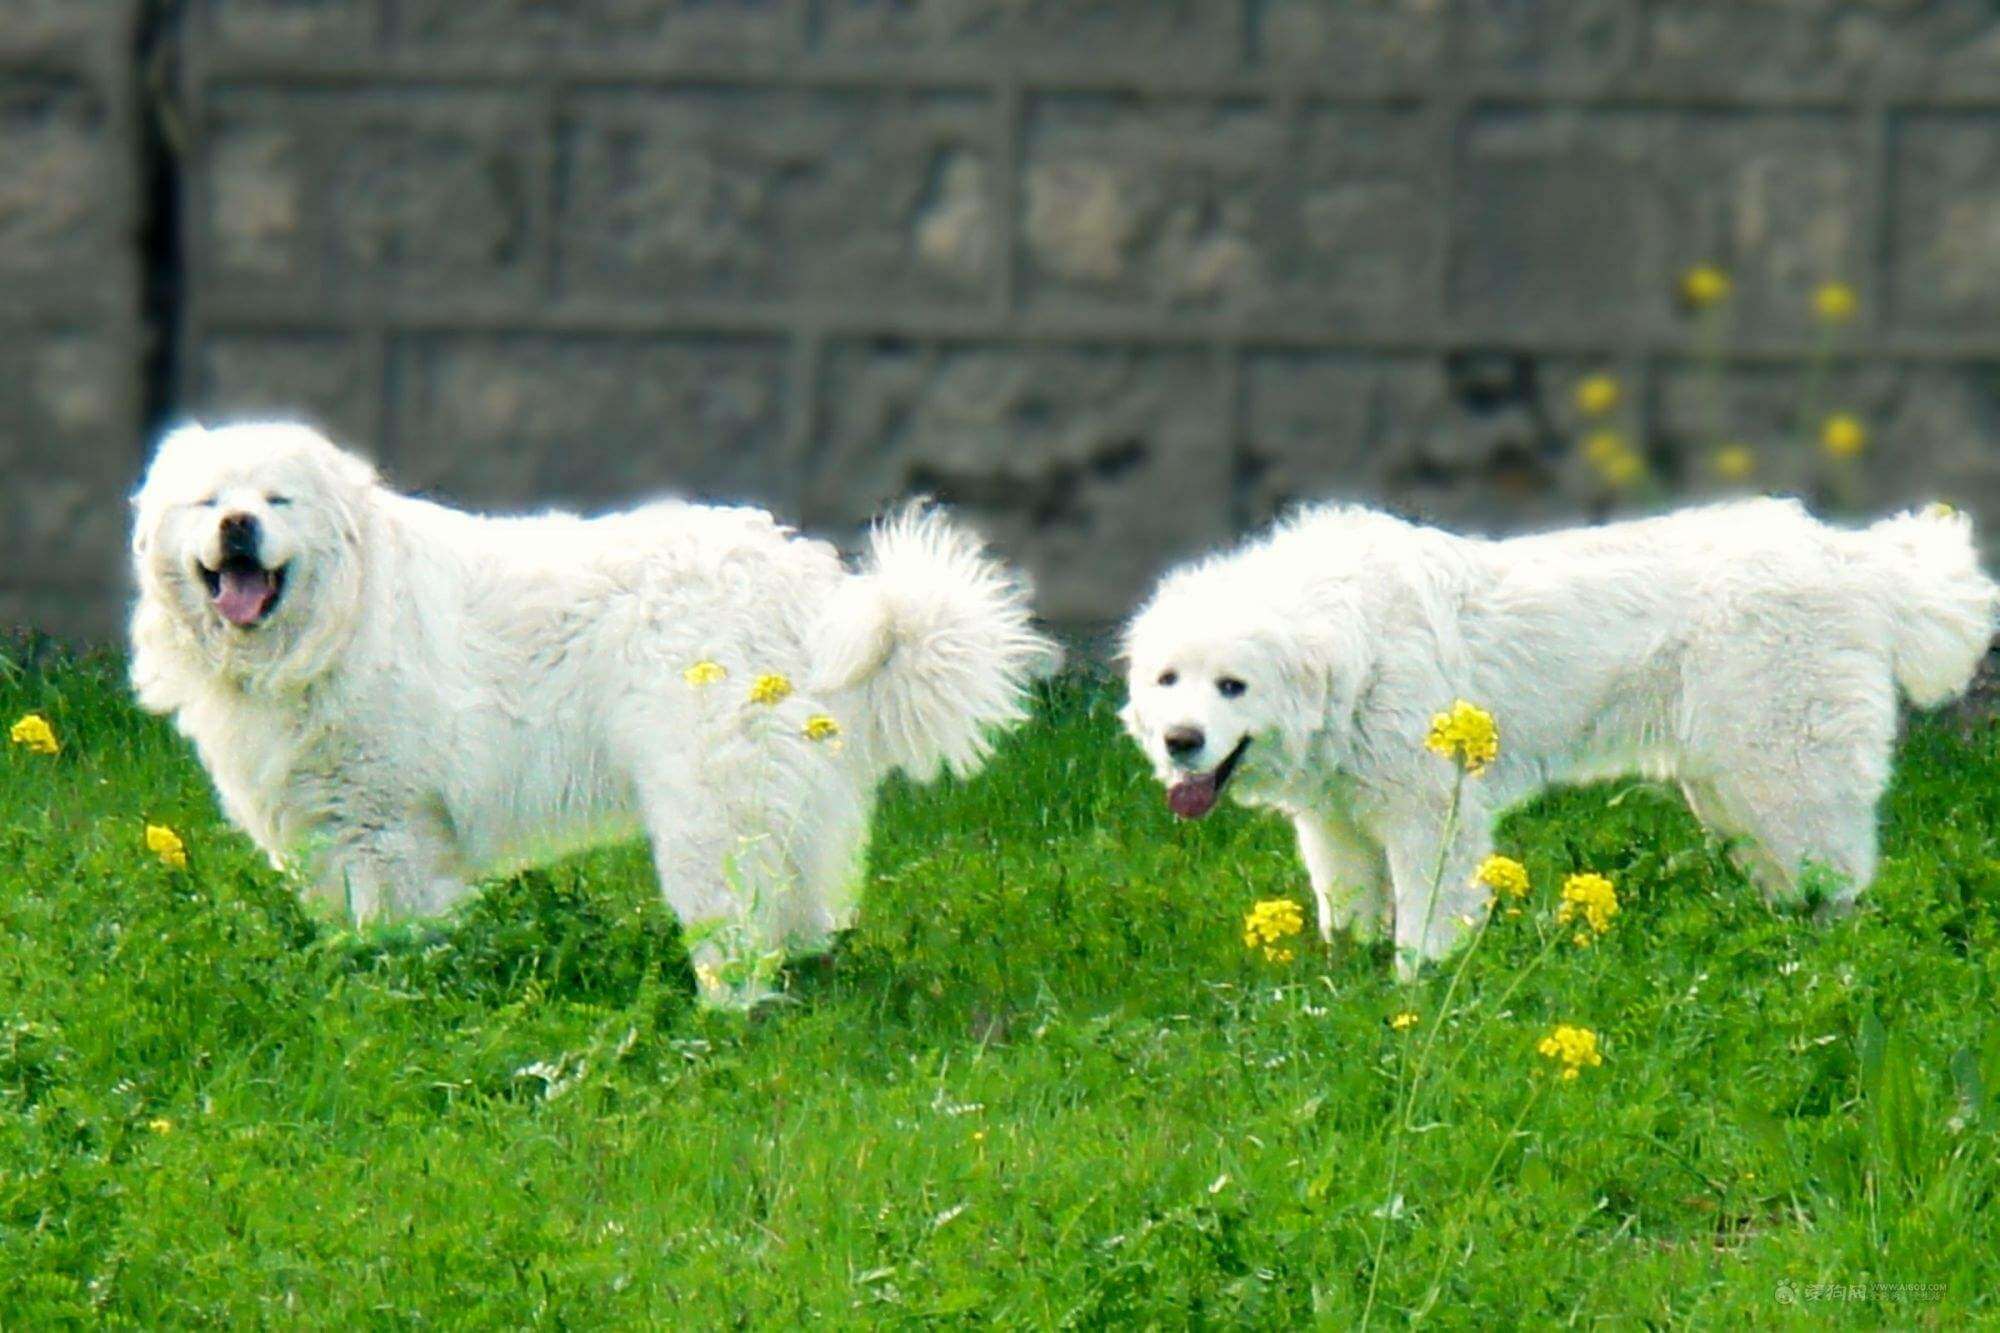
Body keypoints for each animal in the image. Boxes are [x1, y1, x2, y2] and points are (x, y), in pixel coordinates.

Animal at [131, 420, 1056, 1000]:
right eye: (209, 500)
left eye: (278, 500)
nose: (239, 524)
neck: (338, 618)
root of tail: (812, 587)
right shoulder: (328, 829)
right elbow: (342, 931)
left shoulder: (390, 830)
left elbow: (394, 936)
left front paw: (396, 995)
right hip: (787, 803)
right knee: (798, 909)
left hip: (706, 812)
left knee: (735, 931)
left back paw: (719, 1019)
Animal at [1128, 498, 2000, 964]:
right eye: (1168, 680)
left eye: (1233, 685)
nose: (1181, 741)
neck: (1355, 647)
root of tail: (1856, 560)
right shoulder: (1336, 826)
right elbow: (1346, 917)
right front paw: (1344, 985)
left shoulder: (1430, 816)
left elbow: (1425, 925)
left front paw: (1416, 996)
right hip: (1733, 792)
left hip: (1786, 773)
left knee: (1840, 884)